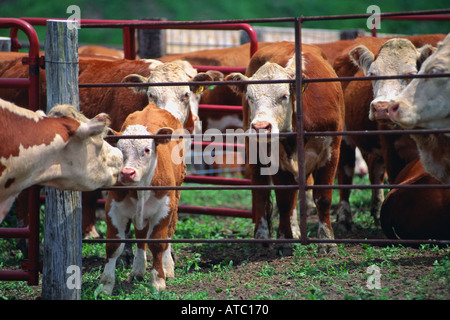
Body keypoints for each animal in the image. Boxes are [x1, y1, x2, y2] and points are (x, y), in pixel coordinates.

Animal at [99, 103, 185, 296]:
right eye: (119, 150)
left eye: (146, 149)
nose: (127, 173)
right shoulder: (113, 210)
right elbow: (113, 247)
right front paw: (105, 285)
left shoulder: (163, 210)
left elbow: (158, 244)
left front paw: (158, 280)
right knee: (140, 237)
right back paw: (138, 270)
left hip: (175, 199)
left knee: (169, 232)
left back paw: (168, 267)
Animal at [225, 41, 344, 254]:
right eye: (249, 96)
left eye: (284, 96)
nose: (260, 127)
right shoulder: (275, 159)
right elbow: (283, 200)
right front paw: (283, 240)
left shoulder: (332, 153)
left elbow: (322, 198)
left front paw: (327, 241)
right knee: (261, 191)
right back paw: (262, 236)